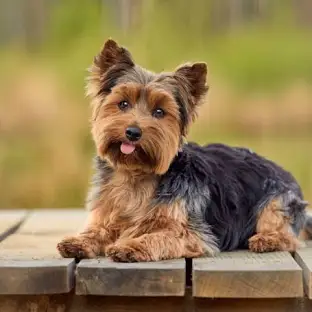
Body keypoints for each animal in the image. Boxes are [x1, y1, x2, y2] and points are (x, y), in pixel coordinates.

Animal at [57, 39, 310, 262]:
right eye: (123, 104)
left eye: (159, 112)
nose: (133, 132)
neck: (137, 174)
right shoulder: (108, 213)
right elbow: (100, 230)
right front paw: (79, 241)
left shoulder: (194, 234)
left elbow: (159, 236)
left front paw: (130, 246)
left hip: (277, 201)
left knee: (288, 234)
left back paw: (266, 239)